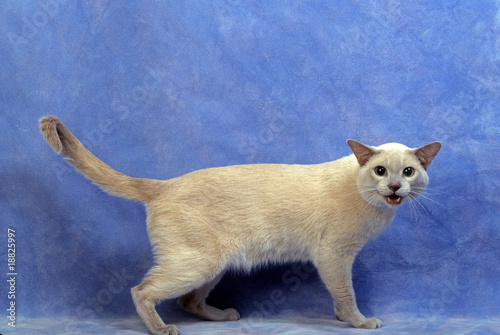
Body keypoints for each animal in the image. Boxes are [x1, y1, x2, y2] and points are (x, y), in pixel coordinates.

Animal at [39, 116, 442, 335]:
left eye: (408, 172)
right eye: (380, 170)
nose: (395, 187)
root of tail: (165, 183)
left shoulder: (338, 259)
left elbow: (339, 298)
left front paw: (342, 318)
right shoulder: (334, 256)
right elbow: (346, 294)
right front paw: (358, 321)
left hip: (215, 265)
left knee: (188, 300)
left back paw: (223, 316)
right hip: (197, 264)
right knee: (142, 291)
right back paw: (161, 328)